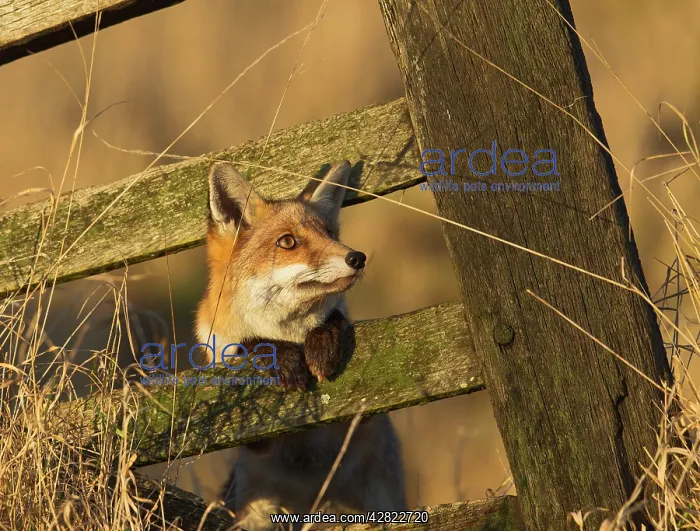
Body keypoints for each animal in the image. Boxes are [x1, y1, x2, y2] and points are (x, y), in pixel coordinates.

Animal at [195, 161, 406, 530]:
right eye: (288, 241)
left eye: (330, 234)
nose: (357, 257)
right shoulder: (249, 438)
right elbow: (251, 345)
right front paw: (280, 357)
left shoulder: (365, 416)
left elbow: (333, 319)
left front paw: (322, 342)